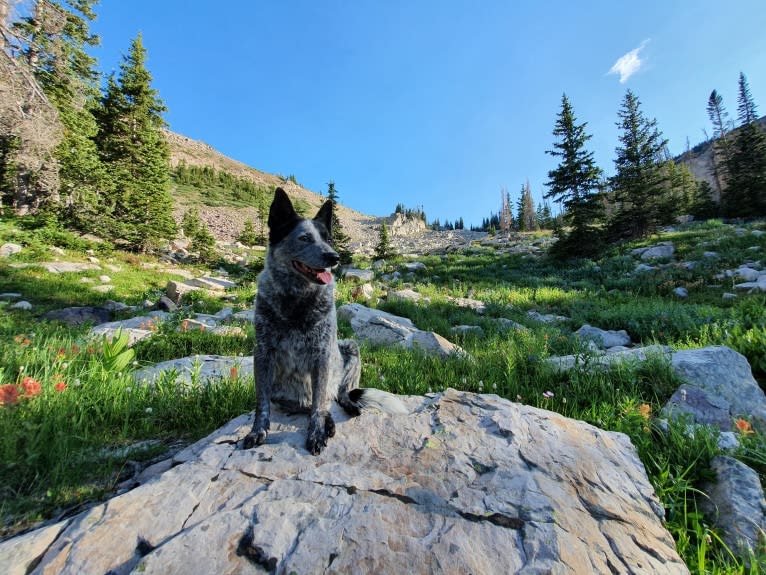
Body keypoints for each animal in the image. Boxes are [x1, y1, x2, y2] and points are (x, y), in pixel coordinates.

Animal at [244, 189, 408, 454]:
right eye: (304, 238)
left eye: (328, 239)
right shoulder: (262, 353)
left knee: (337, 395)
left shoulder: (321, 353)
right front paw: (257, 431)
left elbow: (319, 405)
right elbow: (262, 404)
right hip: (286, 393)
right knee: (313, 404)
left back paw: (344, 409)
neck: (297, 298)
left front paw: (317, 433)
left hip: (349, 348)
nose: (334, 257)